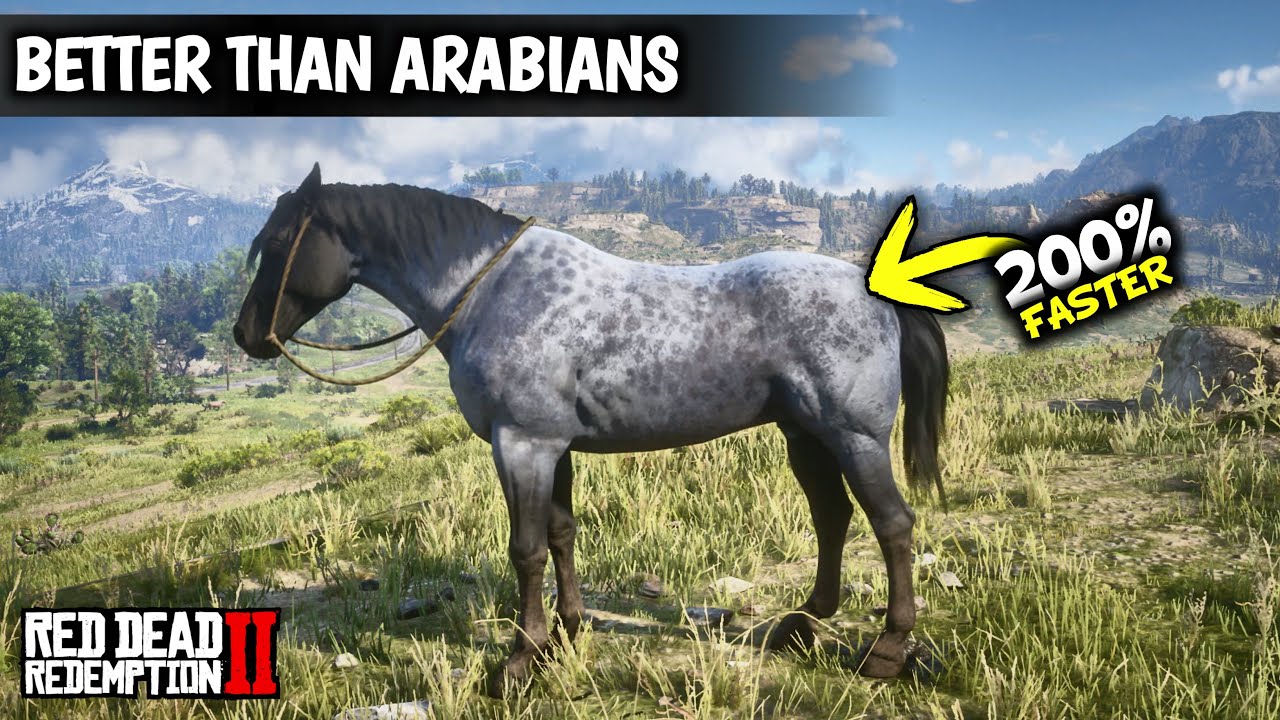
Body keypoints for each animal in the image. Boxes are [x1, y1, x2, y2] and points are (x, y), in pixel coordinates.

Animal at [234, 164, 949, 697]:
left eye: (277, 244)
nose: (247, 335)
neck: (494, 291)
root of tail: (878, 291)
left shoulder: (522, 443)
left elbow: (525, 550)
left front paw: (519, 660)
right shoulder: (551, 448)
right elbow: (559, 535)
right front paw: (565, 635)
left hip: (853, 437)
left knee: (892, 525)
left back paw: (887, 649)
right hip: (806, 436)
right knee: (832, 518)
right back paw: (801, 623)